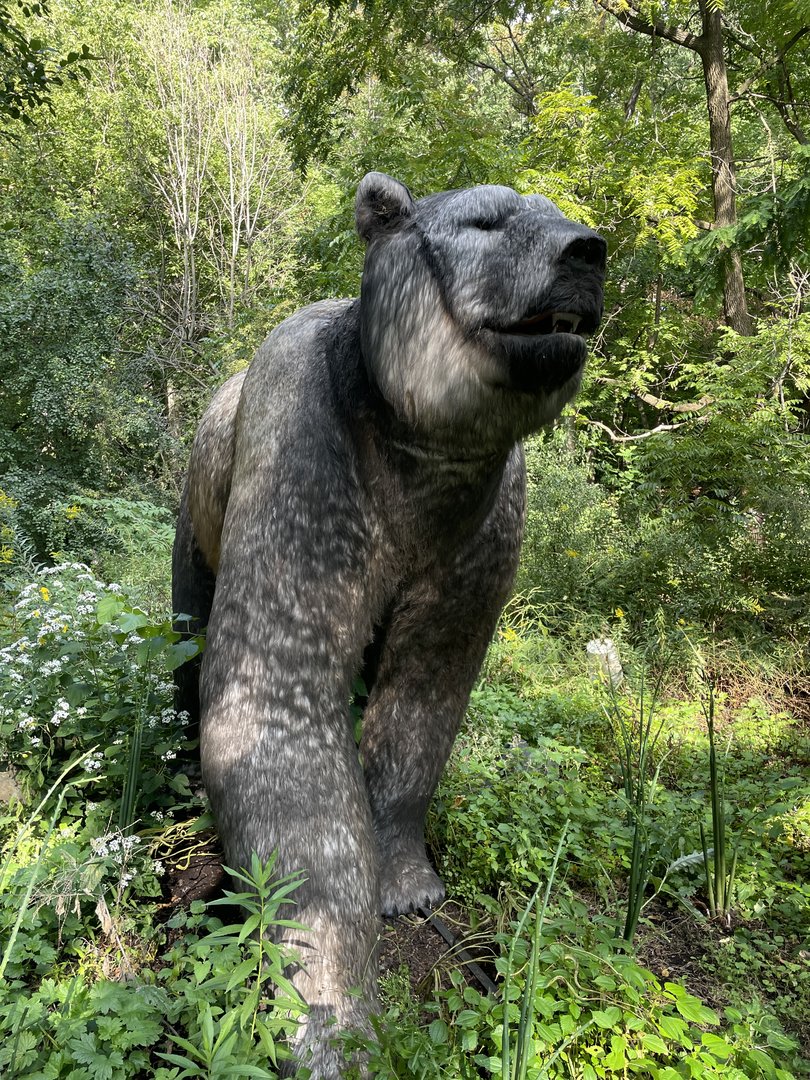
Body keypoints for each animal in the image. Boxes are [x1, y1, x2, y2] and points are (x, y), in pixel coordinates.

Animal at [172, 171, 606, 1077]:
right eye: (485, 220)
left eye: (560, 213)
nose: (586, 251)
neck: (418, 462)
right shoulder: (307, 463)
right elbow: (276, 710)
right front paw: (334, 1016)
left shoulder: (480, 527)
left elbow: (424, 698)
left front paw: (409, 882)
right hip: (198, 498)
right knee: (187, 628)